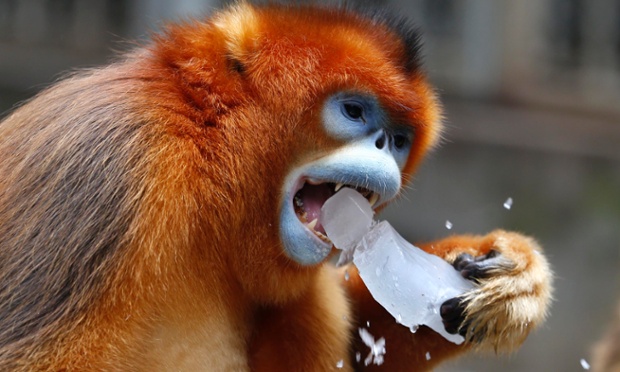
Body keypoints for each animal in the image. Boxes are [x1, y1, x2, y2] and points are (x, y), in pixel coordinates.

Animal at [0, 2, 552, 372]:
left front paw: (515, 274)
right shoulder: (111, 166)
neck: (206, 171)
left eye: (399, 140)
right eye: (354, 112)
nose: (383, 145)